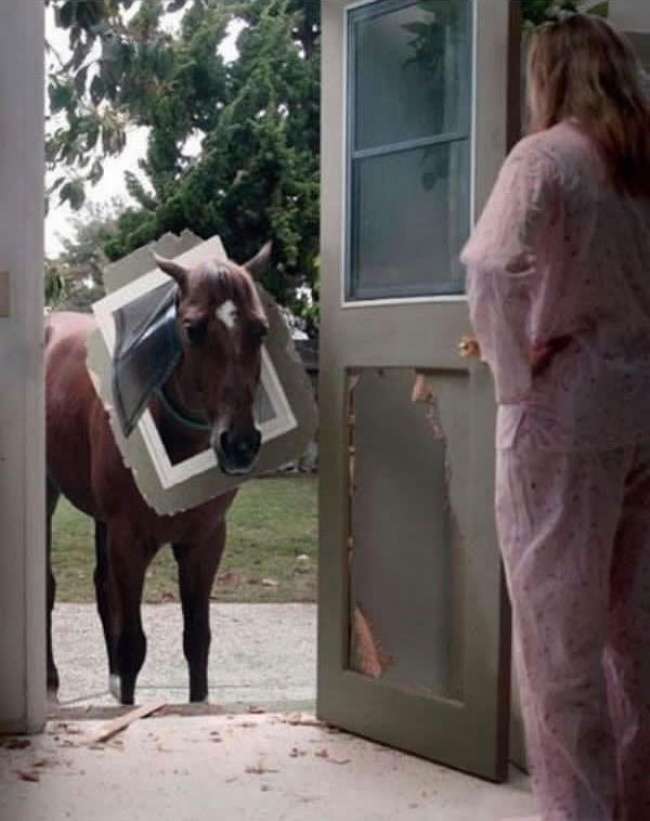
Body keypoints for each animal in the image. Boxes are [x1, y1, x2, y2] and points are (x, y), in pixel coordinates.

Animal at [45, 243, 271, 705]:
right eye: (193, 328)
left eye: (259, 330)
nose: (239, 444)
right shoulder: (130, 542)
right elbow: (134, 644)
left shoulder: (205, 543)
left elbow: (197, 640)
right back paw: (50, 682)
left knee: (102, 587)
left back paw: (112, 681)